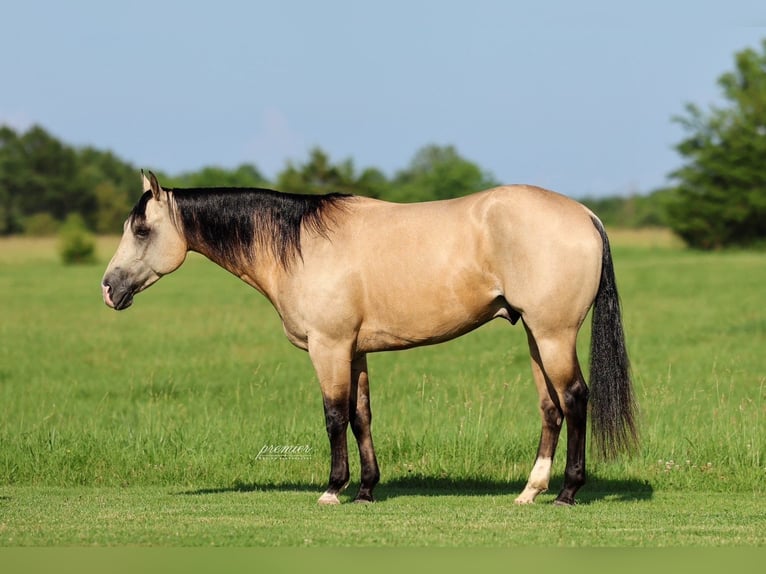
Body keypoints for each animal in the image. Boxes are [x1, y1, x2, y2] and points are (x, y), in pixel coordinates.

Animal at [102, 171, 637, 506]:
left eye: (142, 230)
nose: (108, 288)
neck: (300, 245)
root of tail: (585, 214)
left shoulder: (329, 347)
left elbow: (334, 416)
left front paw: (332, 490)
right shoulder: (354, 351)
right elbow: (361, 416)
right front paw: (365, 490)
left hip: (553, 333)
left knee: (575, 399)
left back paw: (567, 492)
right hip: (534, 334)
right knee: (551, 407)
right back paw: (530, 491)